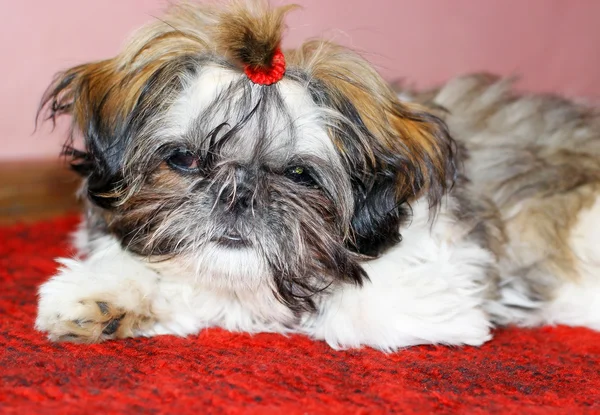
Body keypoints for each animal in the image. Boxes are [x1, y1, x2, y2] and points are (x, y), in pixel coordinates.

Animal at [34, 0, 600, 352]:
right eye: (185, 159)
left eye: (300, 174)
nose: (237, 194)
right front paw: (105, 293)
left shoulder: (439, 285)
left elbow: (327, 308)